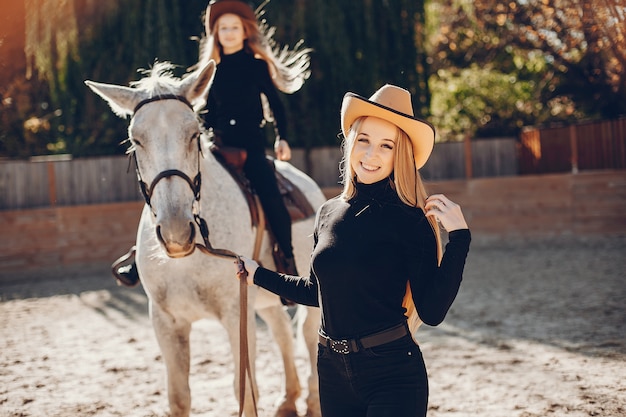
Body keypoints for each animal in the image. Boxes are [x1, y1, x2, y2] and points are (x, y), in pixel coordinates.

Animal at [85, 61, 324, 416]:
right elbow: (179, 397)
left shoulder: (236, 316)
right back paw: (288, 399)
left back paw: (312, 399)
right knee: (282, 331)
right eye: (136, 140)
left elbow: (245, 392)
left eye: (194, 134)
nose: (175, 231)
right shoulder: (166, 322)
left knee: (308, 335)